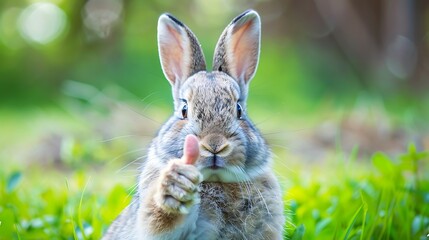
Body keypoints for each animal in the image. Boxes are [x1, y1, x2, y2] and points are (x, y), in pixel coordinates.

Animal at [103, 9, 284, 240]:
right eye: (184, 110)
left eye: (239, 111)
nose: (214, 144)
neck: (215, 180)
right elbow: (158, 221)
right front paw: (176, 184)